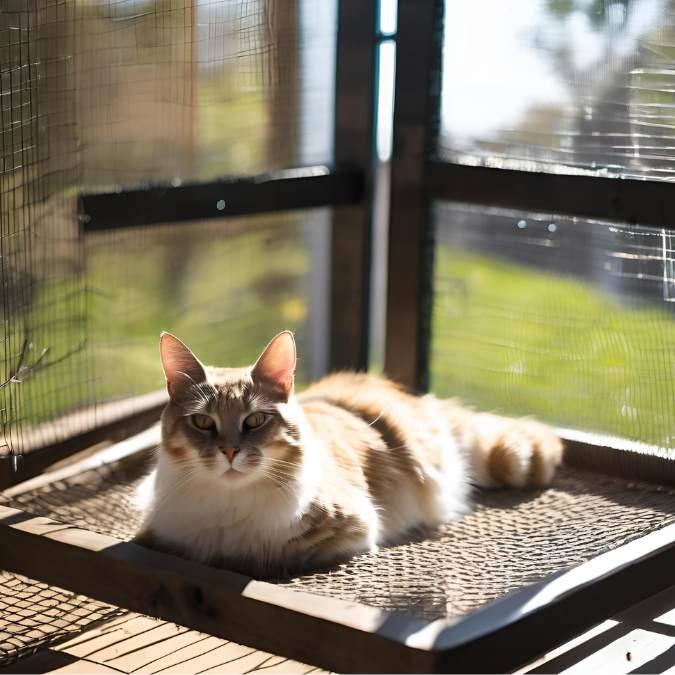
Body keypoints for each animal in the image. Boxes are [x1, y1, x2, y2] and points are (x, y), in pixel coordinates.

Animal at [135, 330, 564, 580]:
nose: (229, 452)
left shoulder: (349, 531)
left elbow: (258, 558)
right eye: (202, 423)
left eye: (255, 420)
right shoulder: (156, 535)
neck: (229, 505)